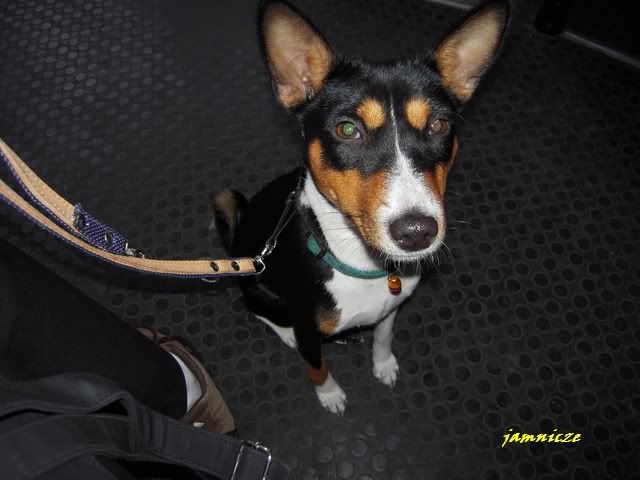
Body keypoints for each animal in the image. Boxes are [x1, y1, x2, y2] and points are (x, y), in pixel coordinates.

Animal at [212, 1, 509, 414]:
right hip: (260, 290)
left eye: (438, 125)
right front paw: (330, 395)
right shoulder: (307, 327)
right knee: (264, 313)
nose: (416, 232)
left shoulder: (391, 309)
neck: (362, 264)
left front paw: (383, 365)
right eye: (348, 130)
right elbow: (317, 366)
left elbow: (383, 337)